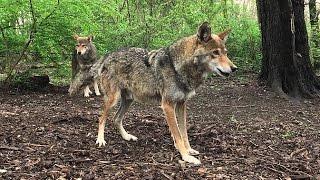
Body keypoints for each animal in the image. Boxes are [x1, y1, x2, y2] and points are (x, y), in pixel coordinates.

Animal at [69, 22, 236, 165]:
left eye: (226, 53)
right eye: (215, 53)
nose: (234, 68)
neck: (178, 67)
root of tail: (107, 56)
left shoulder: (181, 105)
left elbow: (184, 132)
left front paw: (189, 150)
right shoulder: (167, 105)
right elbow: (178, 134)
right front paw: (186, 157)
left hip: (128, 100)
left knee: (116, 119)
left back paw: (127, 136)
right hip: (113, 100)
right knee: (102, 118)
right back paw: (100, 140)